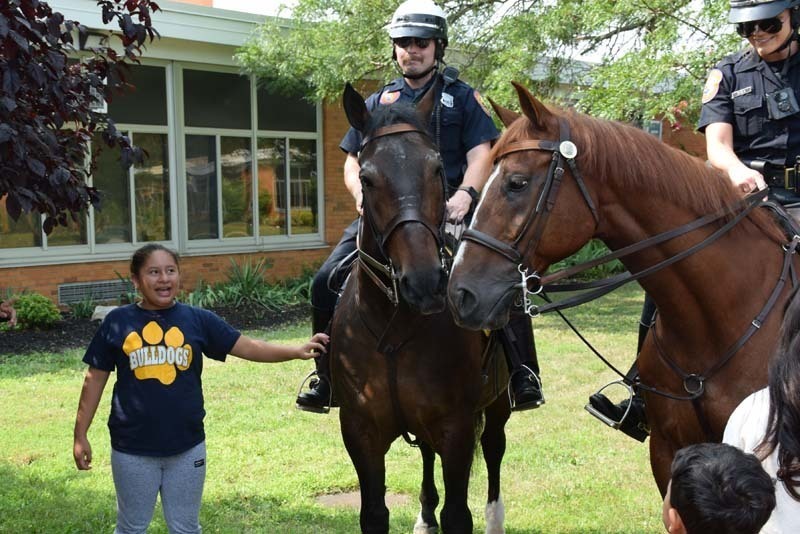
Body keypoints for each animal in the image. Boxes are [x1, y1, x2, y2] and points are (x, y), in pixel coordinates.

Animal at [332, 81, 512, 532]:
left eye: (436, 169)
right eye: (366, 178)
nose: (425, 282)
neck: (394, 325)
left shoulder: (456, 428)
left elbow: (458, 515)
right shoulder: (360, 431)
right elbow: (374, 514)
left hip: (498, 405)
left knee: (495, 448)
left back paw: (494, 518)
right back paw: (425, 515)